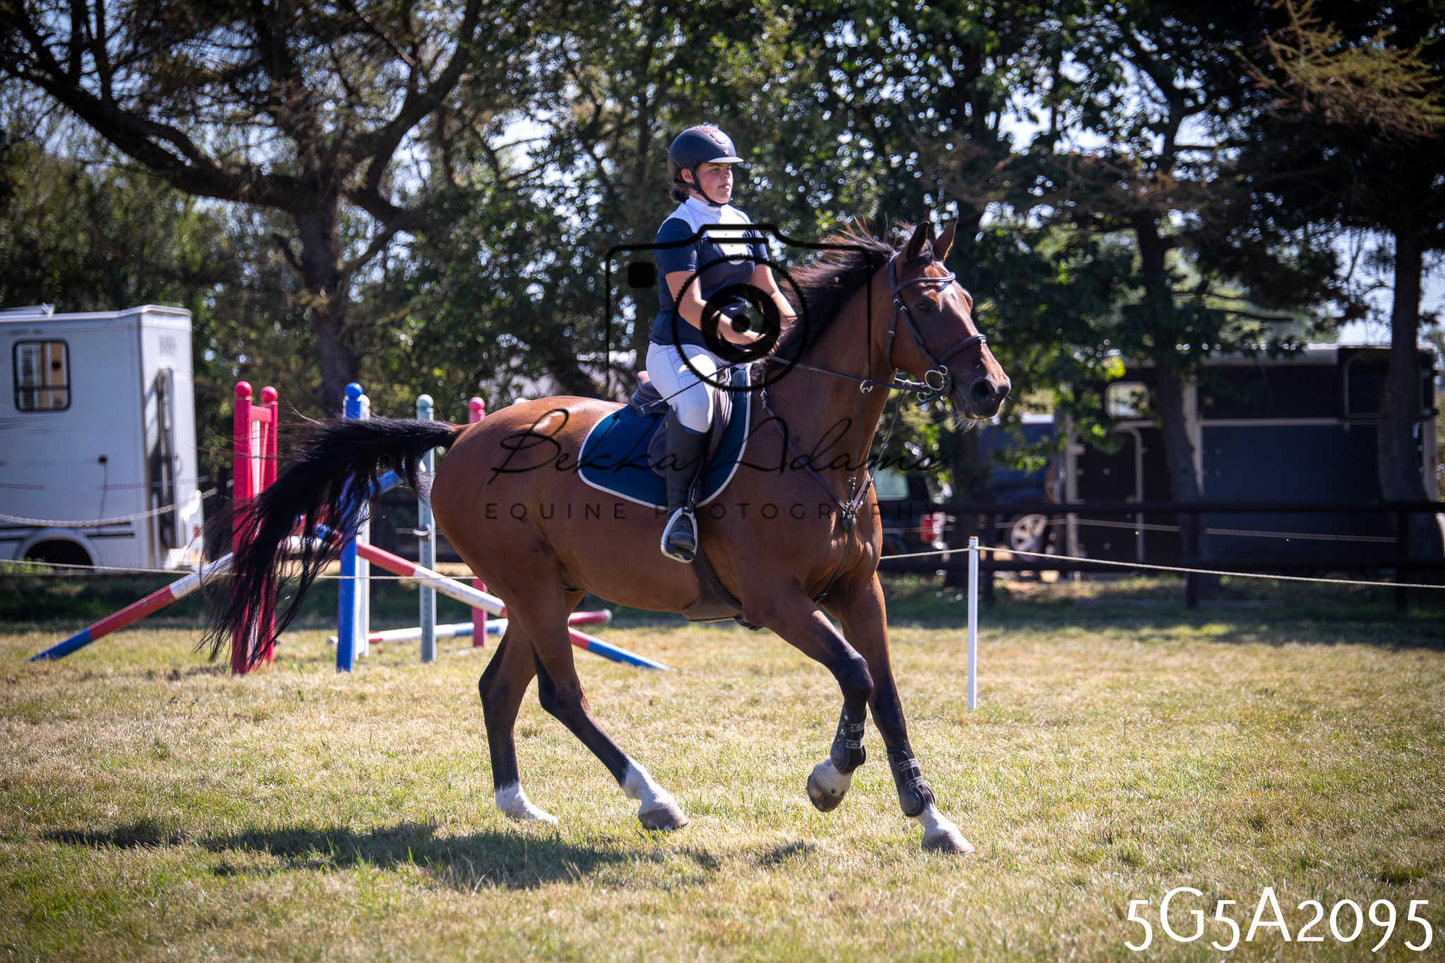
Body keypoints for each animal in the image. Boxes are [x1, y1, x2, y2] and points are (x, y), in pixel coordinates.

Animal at [211, 219, 1010, 854]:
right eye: (927, 304)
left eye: (969, 301)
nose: (992, 390)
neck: (815, 444)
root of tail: (464, 434)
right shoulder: (778, 601)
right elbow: (855, 673)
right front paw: (829, 781)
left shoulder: (858, 589)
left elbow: (886, 692)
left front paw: (931, 819)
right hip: (533, 588)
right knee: (560, 695)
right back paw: (653, 799)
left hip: (548, 591)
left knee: (500, 687)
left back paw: (521, 807)